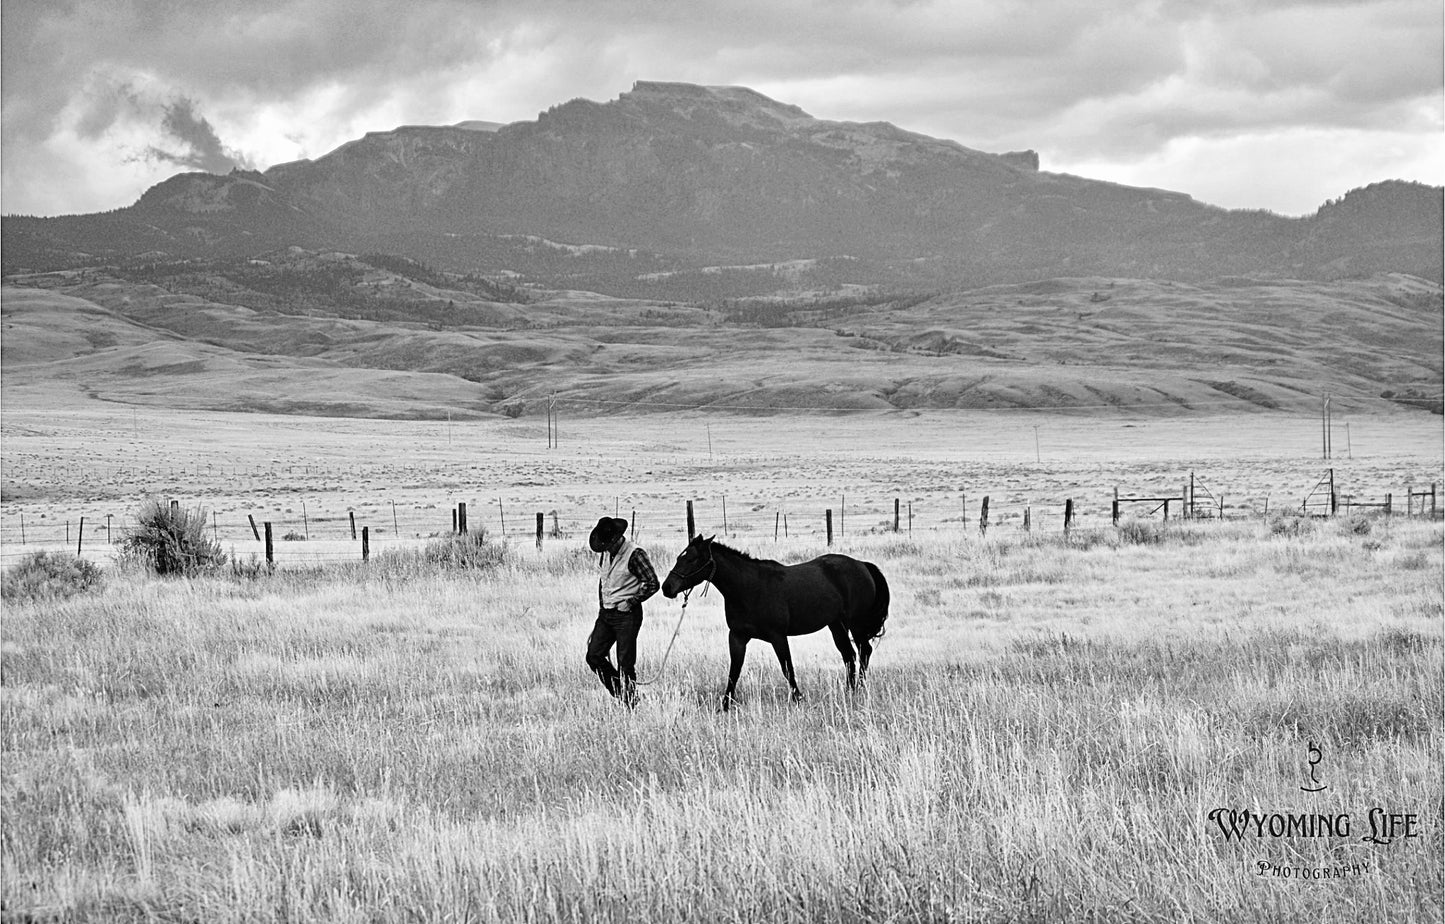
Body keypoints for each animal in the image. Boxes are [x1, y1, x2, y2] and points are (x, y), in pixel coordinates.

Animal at [661, 532, 884, 711]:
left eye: (692, 559)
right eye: (680, 557)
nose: (667, 587)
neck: (748, 589)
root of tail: (861, 565)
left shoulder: (778, 637)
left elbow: (787, 668)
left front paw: (798, 699)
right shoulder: (737, 637)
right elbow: (734, 670)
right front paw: (725, 705)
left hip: (855, 624)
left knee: (864, 651)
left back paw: (859, 688)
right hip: (836, 625)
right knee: (849, 656)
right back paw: (849, 690)